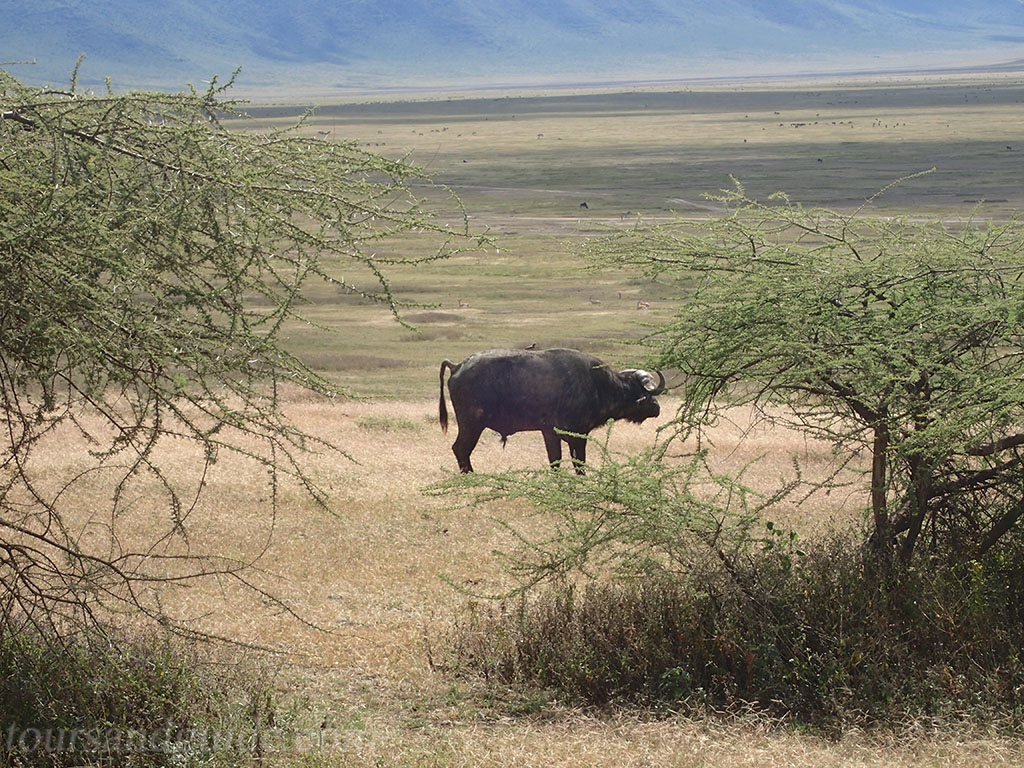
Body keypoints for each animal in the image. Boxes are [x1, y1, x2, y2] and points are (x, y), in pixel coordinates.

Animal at [438, 350, 663, 475]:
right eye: (644, 390)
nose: (657, 407)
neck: (599, 384)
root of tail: (457, 366)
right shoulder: (578, 435)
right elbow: (579, 463)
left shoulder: (550, 434)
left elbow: (555, 461)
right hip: (471, 425)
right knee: (460, 449)